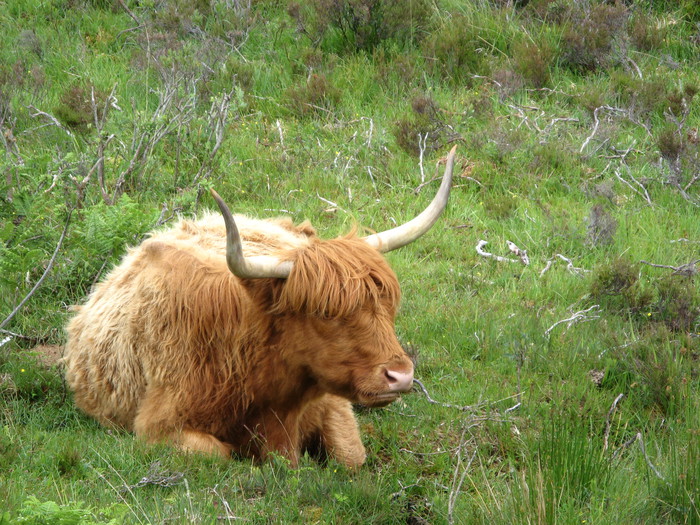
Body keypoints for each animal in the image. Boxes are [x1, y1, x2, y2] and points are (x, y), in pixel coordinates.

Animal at [64, 145, 460, 464]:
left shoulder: (331, 402)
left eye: (387, 305)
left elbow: (352, 455)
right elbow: (217, 453)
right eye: (324, 313)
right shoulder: (156, 427)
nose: (400, 375)